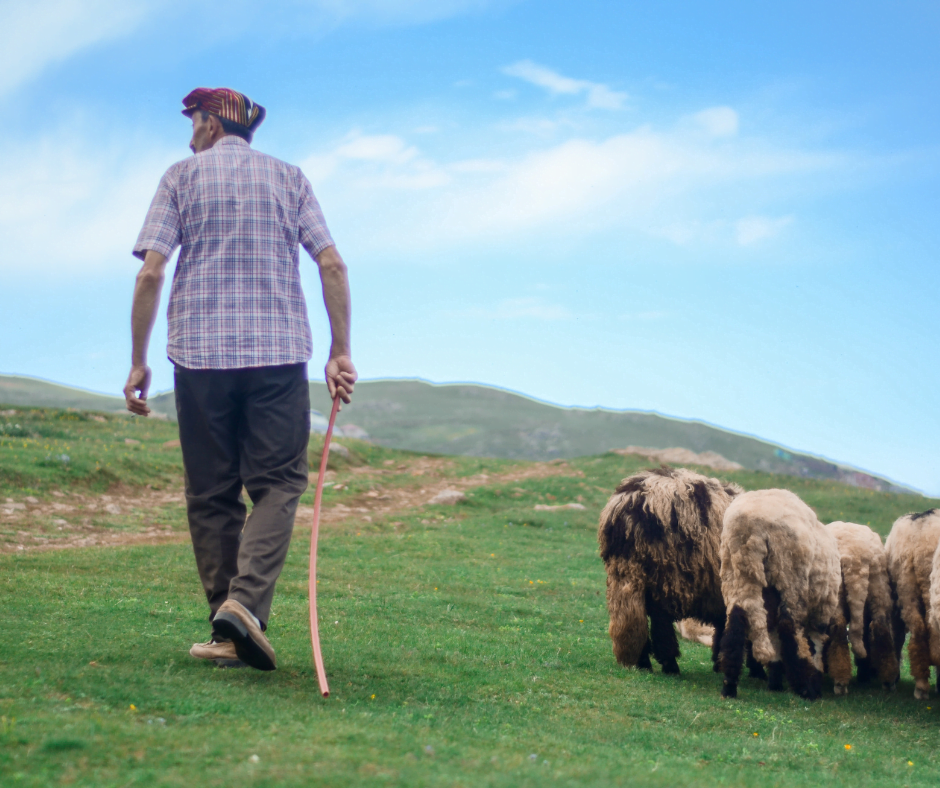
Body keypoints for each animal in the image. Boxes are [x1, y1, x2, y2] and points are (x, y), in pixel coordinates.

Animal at [600, 464, 744, 676]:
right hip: (668, 575)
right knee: (662, 623)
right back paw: (670, 665)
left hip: (630, 573)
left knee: (634, 618)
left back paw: (643, 662)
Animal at [716, 490, 840, 700]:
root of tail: (747, 525)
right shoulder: (822, 610)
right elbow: (814, 645)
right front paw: (811, 683)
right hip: (790, 576)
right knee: (788, 627)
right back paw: (804, 688)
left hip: (736, 573)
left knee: (736, 622)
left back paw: (729, 685)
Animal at [828, 520, 900, 692]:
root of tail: (856, 559)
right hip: (879, 588)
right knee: (881, 627)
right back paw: (888, 680)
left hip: (838, 595)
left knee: (839, 628)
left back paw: (840, 682)